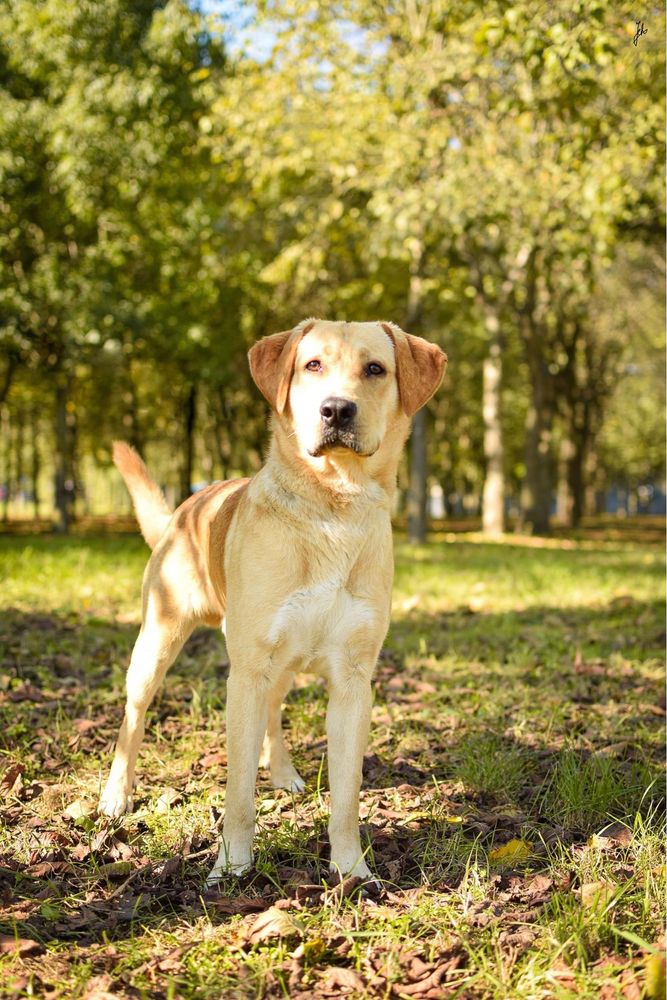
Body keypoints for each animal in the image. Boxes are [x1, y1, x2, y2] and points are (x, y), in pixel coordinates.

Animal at [96, 318, 446, 884]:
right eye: (312, 365)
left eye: (375, 368)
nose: (337, 409)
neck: (332, 508)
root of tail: (185, 509)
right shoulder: (246, 673)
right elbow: (238, 794)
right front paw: (231, 867)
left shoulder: (353, 681)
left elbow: (347, 797)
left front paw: (352, 870)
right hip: (158, 643)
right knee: (134, 716)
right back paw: (115, 796)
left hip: (278, 663)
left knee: (275, 712)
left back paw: (282, 772)